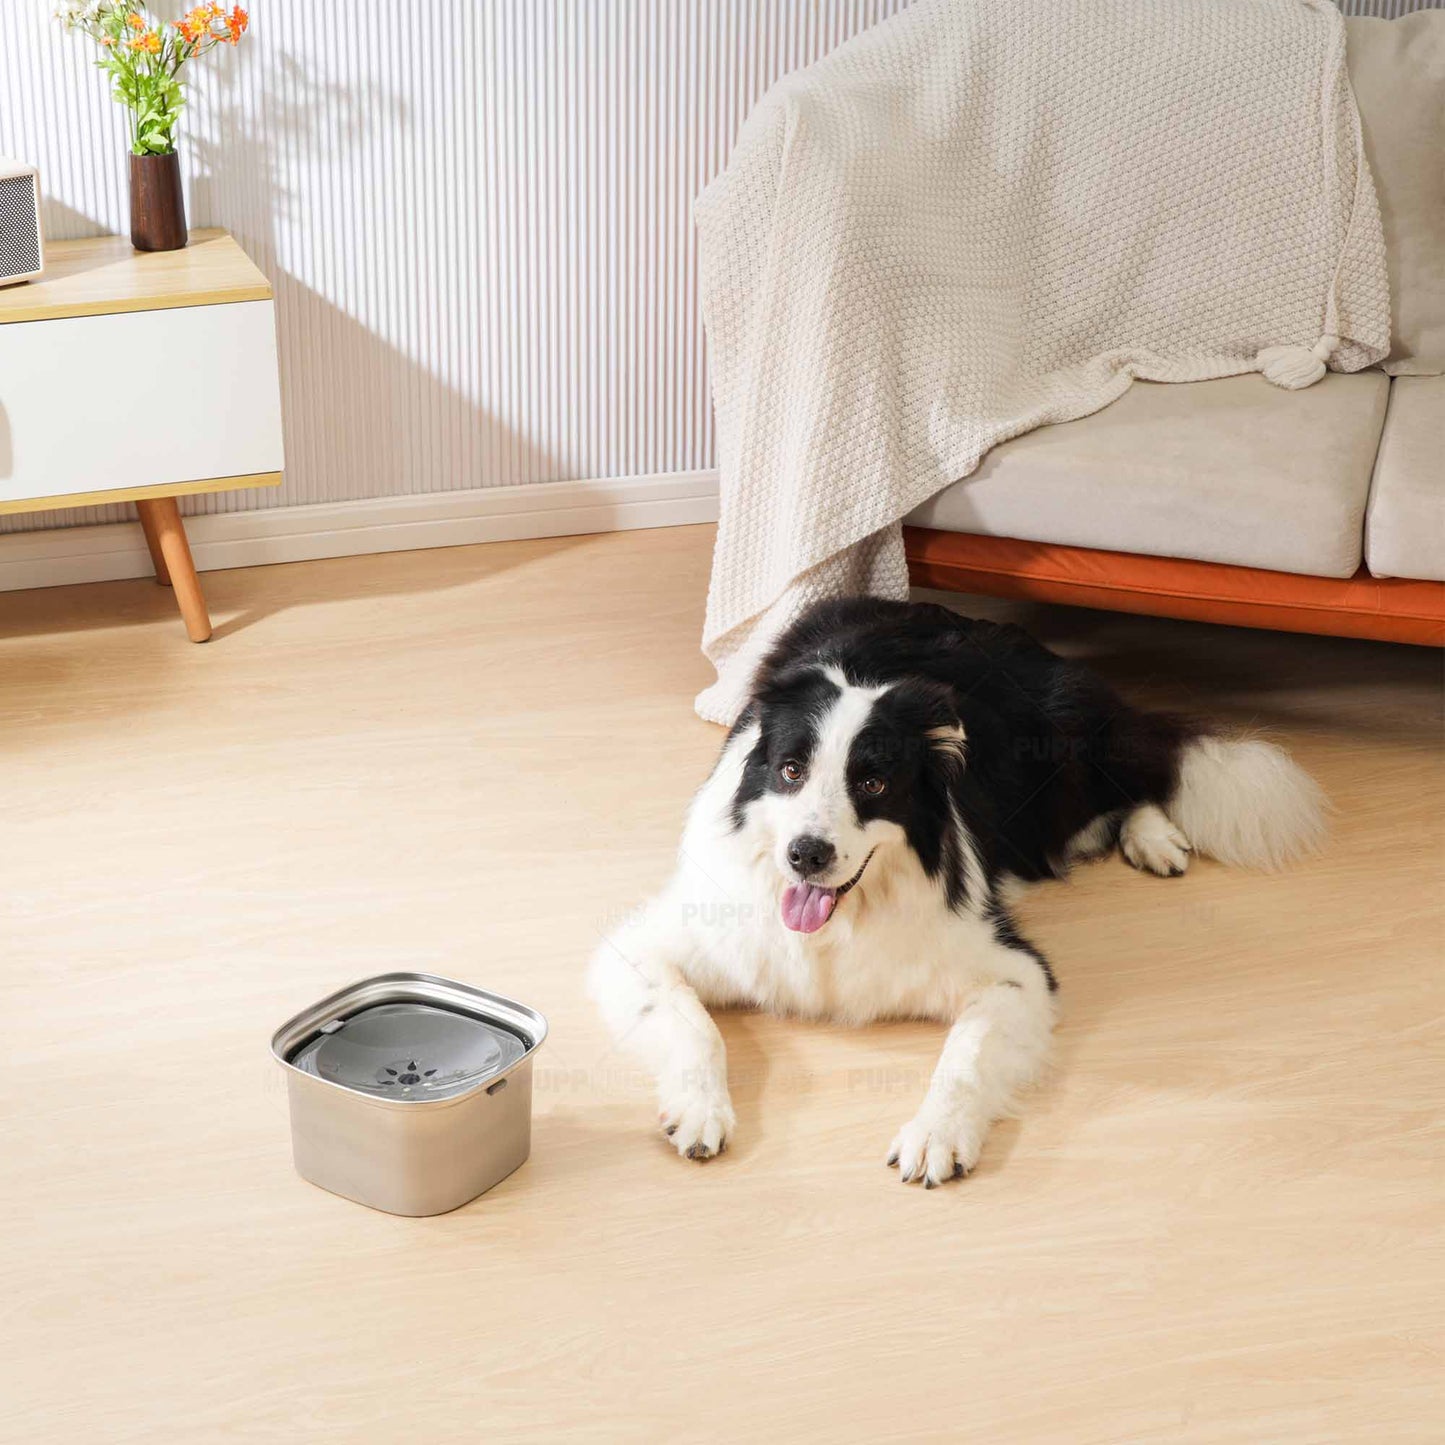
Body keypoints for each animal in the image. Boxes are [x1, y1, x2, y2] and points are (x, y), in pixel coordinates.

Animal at [586, 595, 1323, 1184]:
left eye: (873, 782)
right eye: (791, 769)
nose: (806, 854)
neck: (839, 924)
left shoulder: (1012, 970)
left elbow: (963, 1056)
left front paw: (936, 1135)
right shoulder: (655, 946)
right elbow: (694, 1024)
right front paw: (700, 1111)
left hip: (1059, 760)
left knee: (1137, 777)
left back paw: (1154, 837)